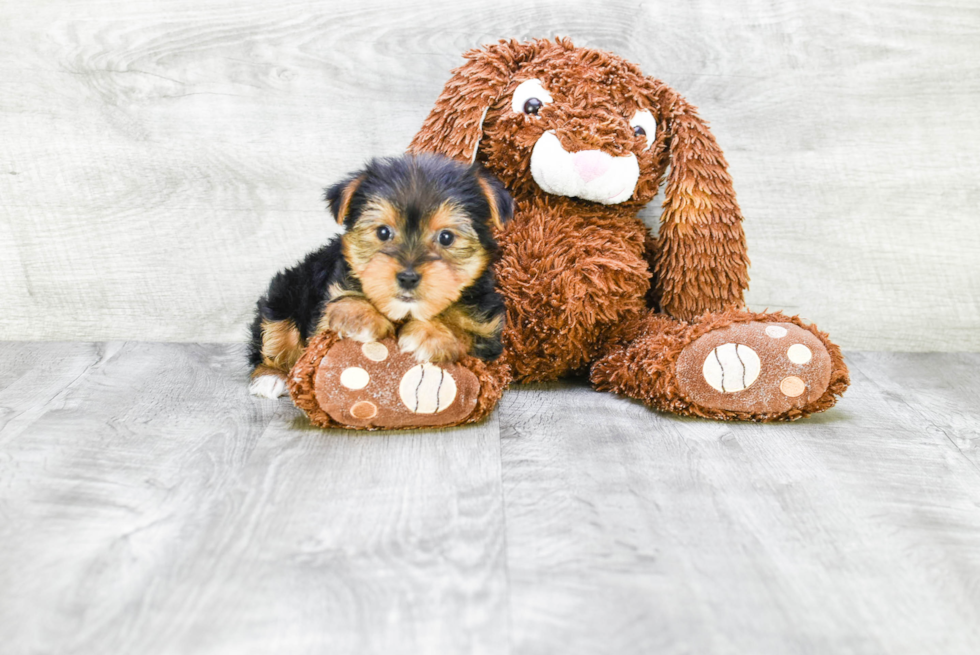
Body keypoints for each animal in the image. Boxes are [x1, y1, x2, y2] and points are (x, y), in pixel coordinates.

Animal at [247, 155, 512, 400]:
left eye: (446, 237)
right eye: (383, 232)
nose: (407, 278)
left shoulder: (487, 333)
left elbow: (465, 332)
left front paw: (433, 333)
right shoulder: (326, 309)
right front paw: (358, 315)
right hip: (286, 290)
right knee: (276, 330)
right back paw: (271, 376)